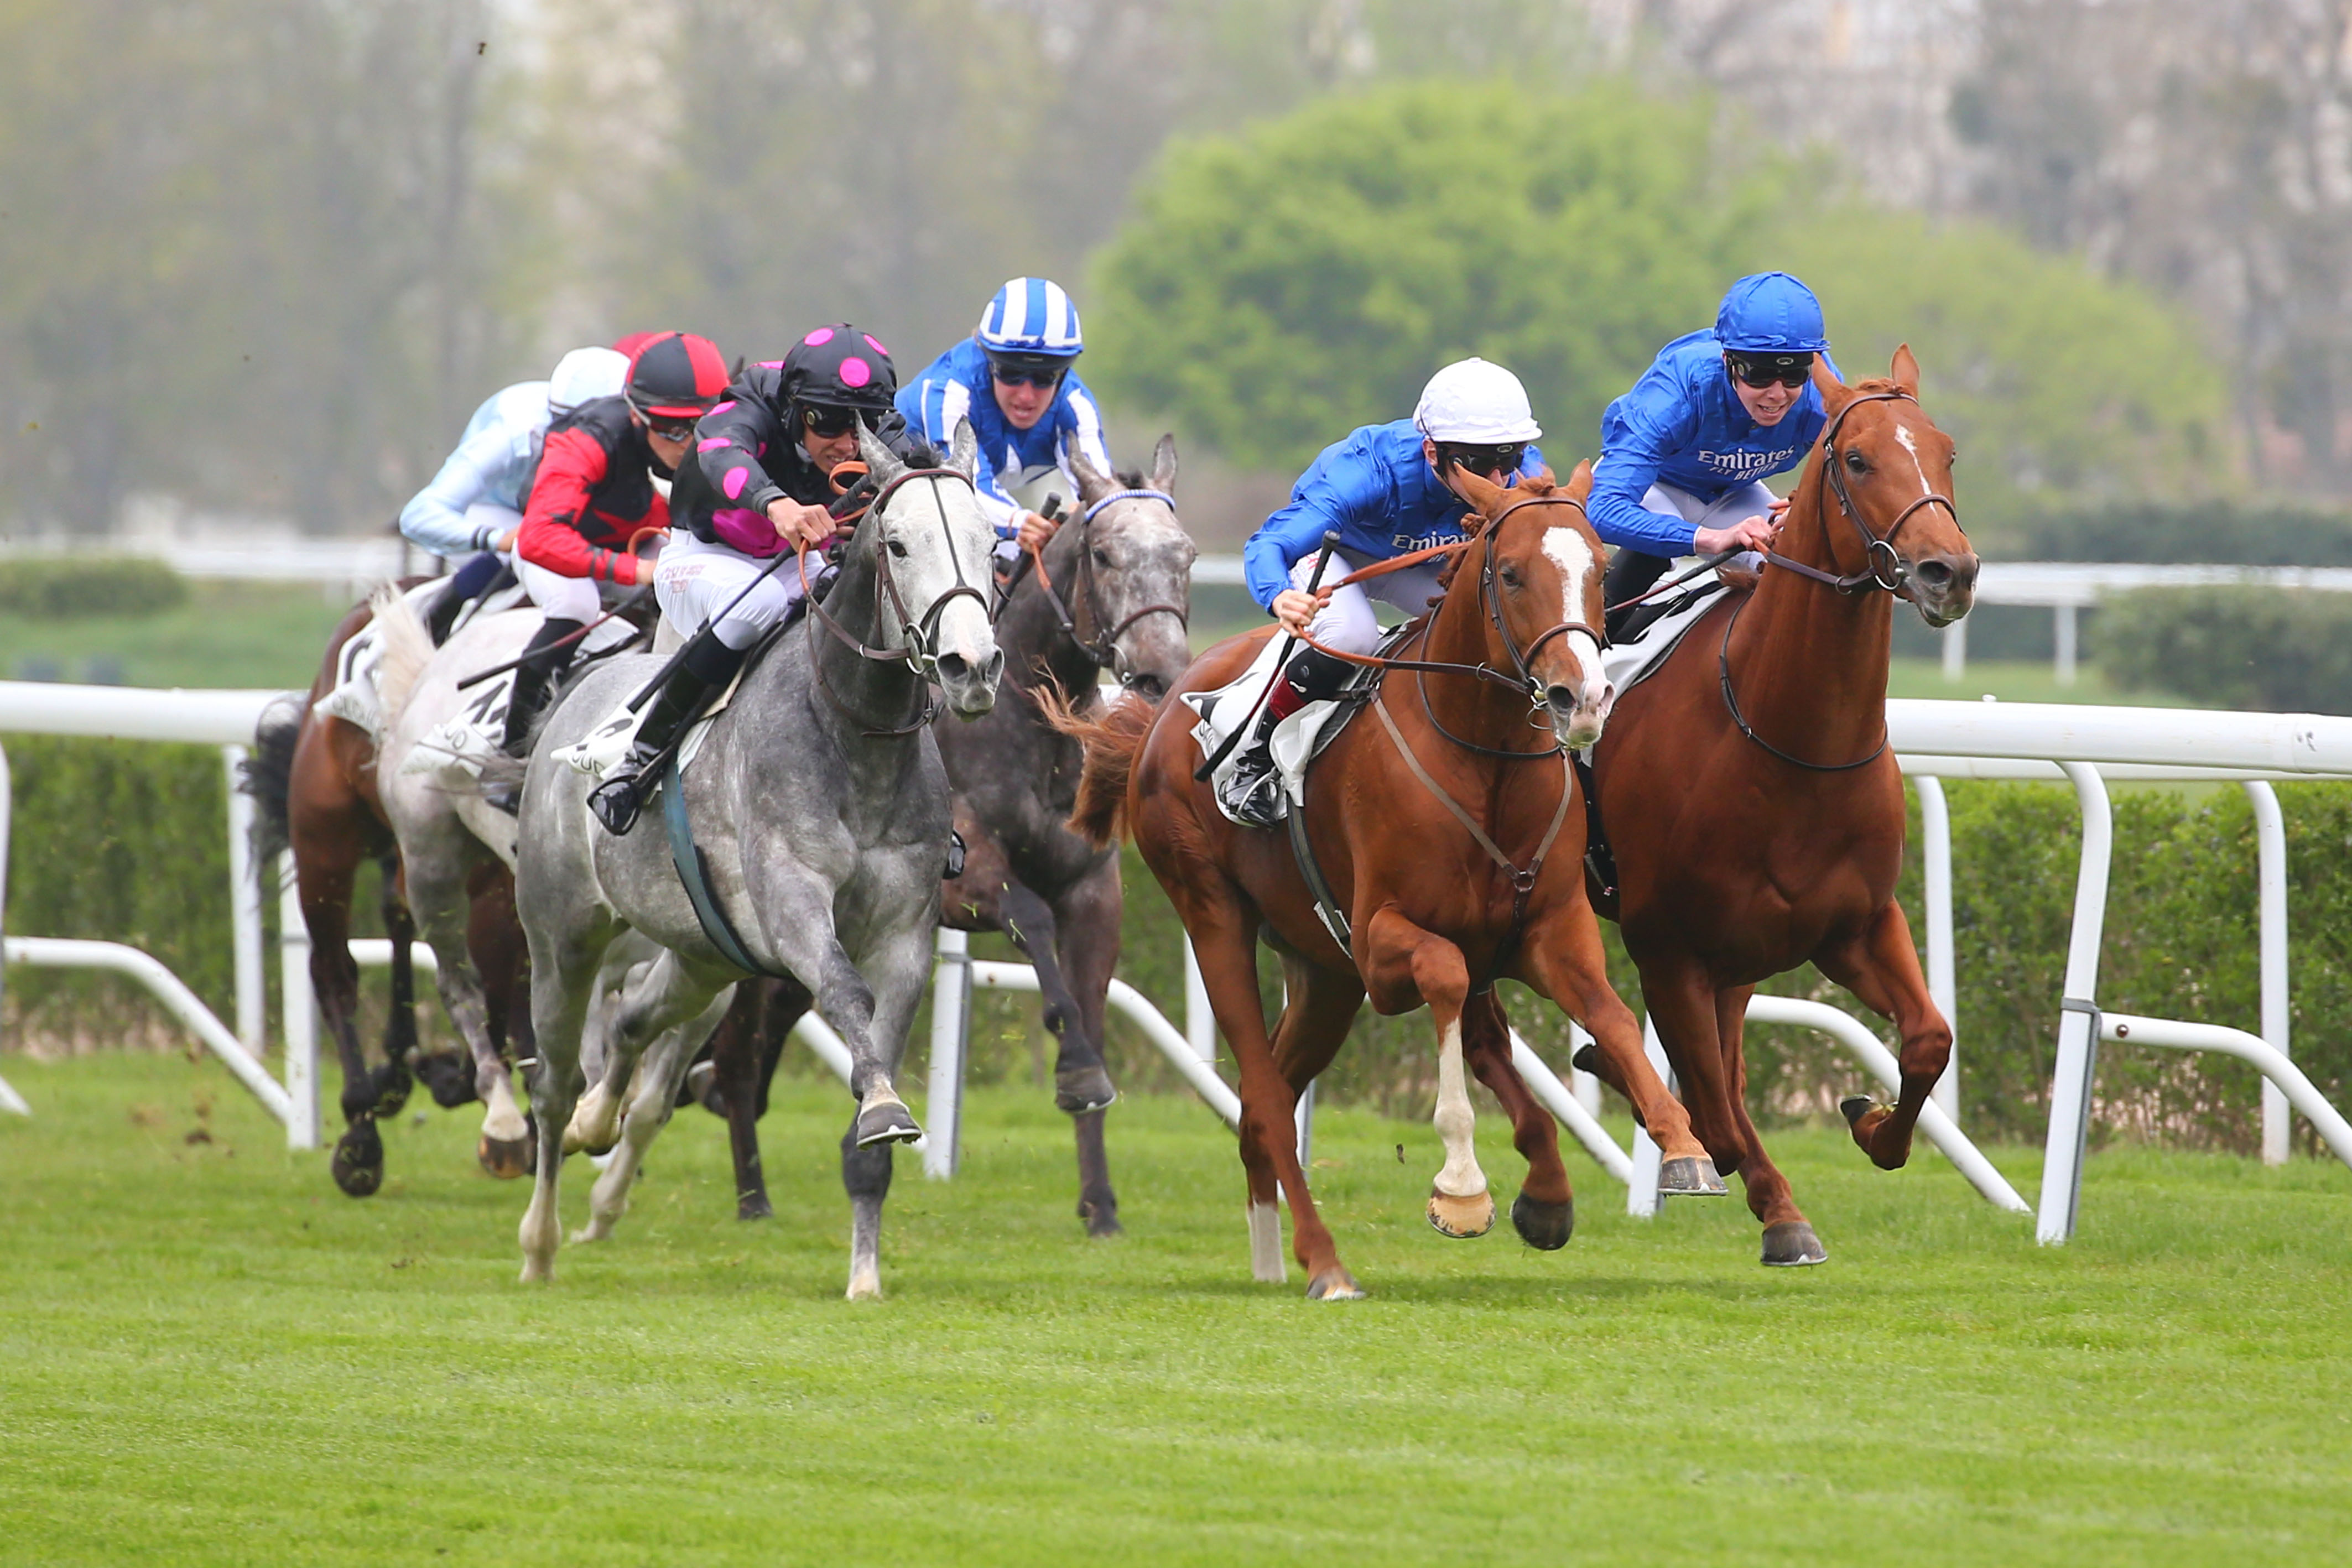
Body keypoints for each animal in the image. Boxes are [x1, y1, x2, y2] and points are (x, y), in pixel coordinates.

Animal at [510, 423, 997, 1298]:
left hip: (706, 954)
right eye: (899, 545)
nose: (971, 668)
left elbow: (874, 1079)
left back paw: (601, 1124)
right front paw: (883, 1109)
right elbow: (843, 992)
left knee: (633, 1024)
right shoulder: (796, 903)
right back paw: (540, 1241)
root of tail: (583, 685)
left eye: (991, 543)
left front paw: (865, 1275)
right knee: (554, 1083)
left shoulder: (904, 935)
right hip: (561, 940)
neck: (855, 736)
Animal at [1068, 463, 1731, 1298]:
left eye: (1599, 572)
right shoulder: (1383, 945)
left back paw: (1275, 1255)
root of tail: (1158, 717)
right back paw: (1324, 1262)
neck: (1482, 758)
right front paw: (1461, 1187)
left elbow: (1606, 1014)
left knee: (1274, 1100)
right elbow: (1444, 979)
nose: (1582, 698)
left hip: (1322, 973)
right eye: (1512, 574)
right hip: (1215, 915)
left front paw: (1682, 1148)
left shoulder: (1548, 928)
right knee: (1263, 1091)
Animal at [1580, 350, 1985, 1269]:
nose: (1950, 571)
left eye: (1947, 452)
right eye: (1859, 459)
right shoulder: (1666, 946)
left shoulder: (1857, 923)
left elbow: (1928, 1038)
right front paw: (1774, 1206)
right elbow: (1718, 1121)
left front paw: (1872, 1122)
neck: (1791, 745)